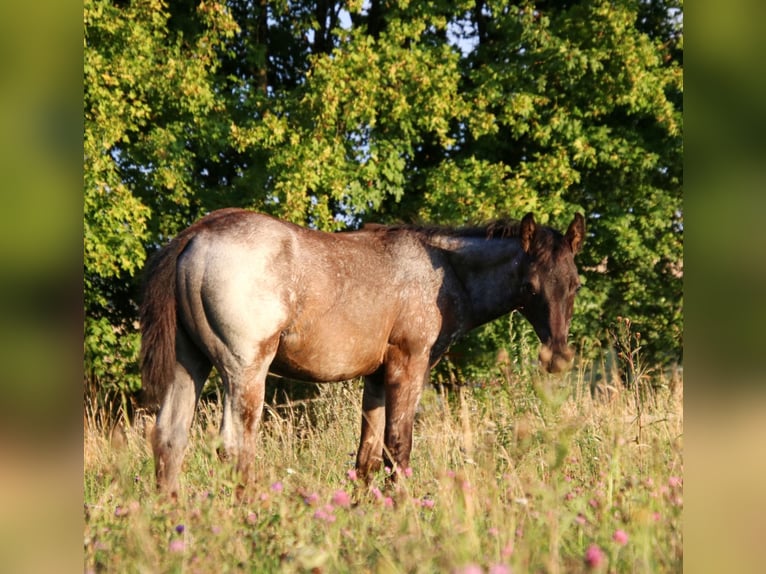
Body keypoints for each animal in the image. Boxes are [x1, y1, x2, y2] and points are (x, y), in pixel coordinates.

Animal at [140, 208, 585, 495]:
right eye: (530, 286)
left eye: (576, 283)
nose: (558, 357)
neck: (446, 270)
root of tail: (194, 237)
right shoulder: (409, 363)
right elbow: (398, 448)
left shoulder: (375, 376)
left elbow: (367, 456)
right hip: (245, 370)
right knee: (235, 447)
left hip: (189, 363)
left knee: (169, 438)